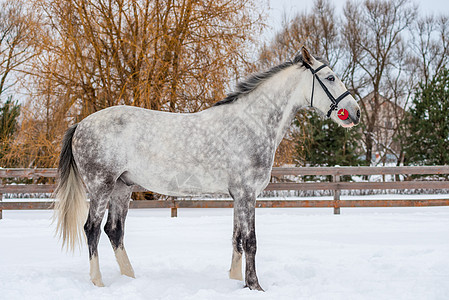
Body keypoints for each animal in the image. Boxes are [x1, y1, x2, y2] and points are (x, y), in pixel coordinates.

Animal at [53, 47, 360, 290]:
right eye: (330, 77)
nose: (355, 112)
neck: (251, 123)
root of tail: (80, 124)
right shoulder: (247, 194)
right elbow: (250, 241)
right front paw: (254, 285)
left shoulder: (239, 195)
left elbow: (237, 238)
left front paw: (236, 281)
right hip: (101, 185)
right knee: (92, 229)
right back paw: (98, 282)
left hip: (122, 186)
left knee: (114, 230)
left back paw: (130, 279)